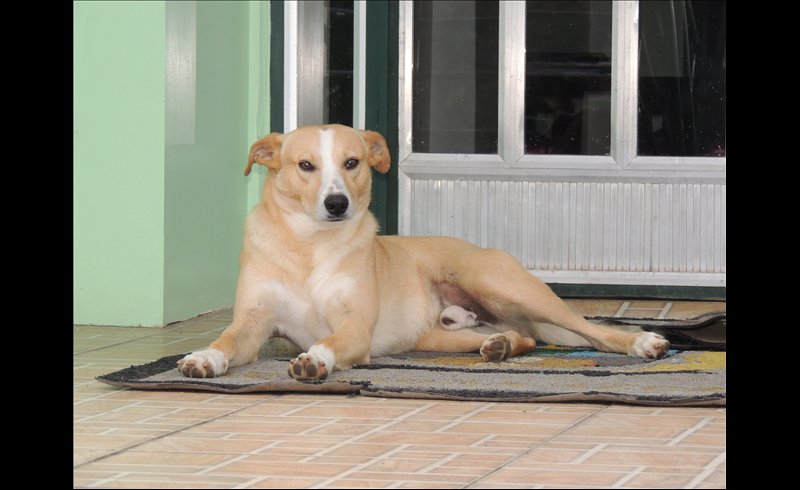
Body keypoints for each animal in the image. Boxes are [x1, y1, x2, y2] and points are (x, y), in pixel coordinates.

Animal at [178, 124, 672, 380]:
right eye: (305, 166)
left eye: (352, 163)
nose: (337, 204)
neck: (308, 247)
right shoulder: (254, 321)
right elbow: (226, 340)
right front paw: (205, 357)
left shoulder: (354, 327)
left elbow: (330, 341)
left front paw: (315, 358)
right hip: (436, 337)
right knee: (524, 337)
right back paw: (499, 345)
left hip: (500, 284)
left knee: (590, 329)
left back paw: (641, 342)